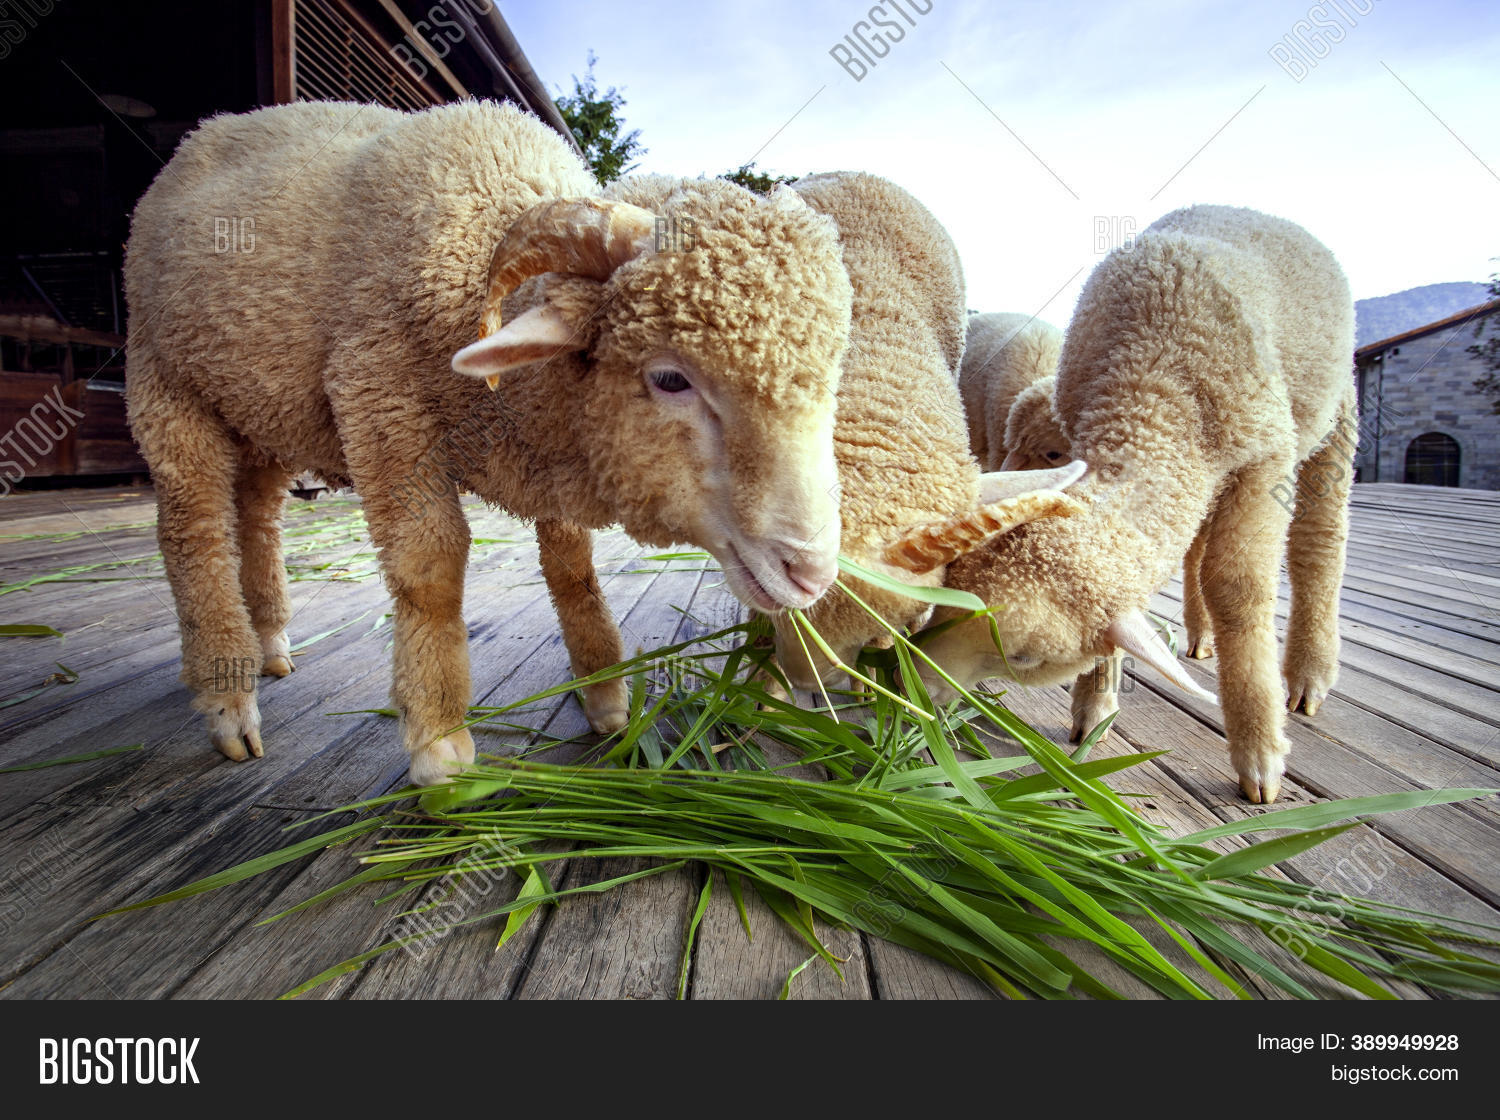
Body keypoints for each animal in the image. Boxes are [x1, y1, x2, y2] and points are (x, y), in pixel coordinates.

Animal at [124, 100, 855, 785]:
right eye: (671, 378)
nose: (813, 572)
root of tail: (212, 127)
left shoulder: (549, 445)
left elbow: (572, 566)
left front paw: (605, 696)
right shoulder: (379, 400)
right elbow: (430, 567)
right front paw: (438, 739)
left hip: (259, 413)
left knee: (256, 517)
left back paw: (271, 642)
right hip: (164, 378)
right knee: (193, 530)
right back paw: (229, 697)